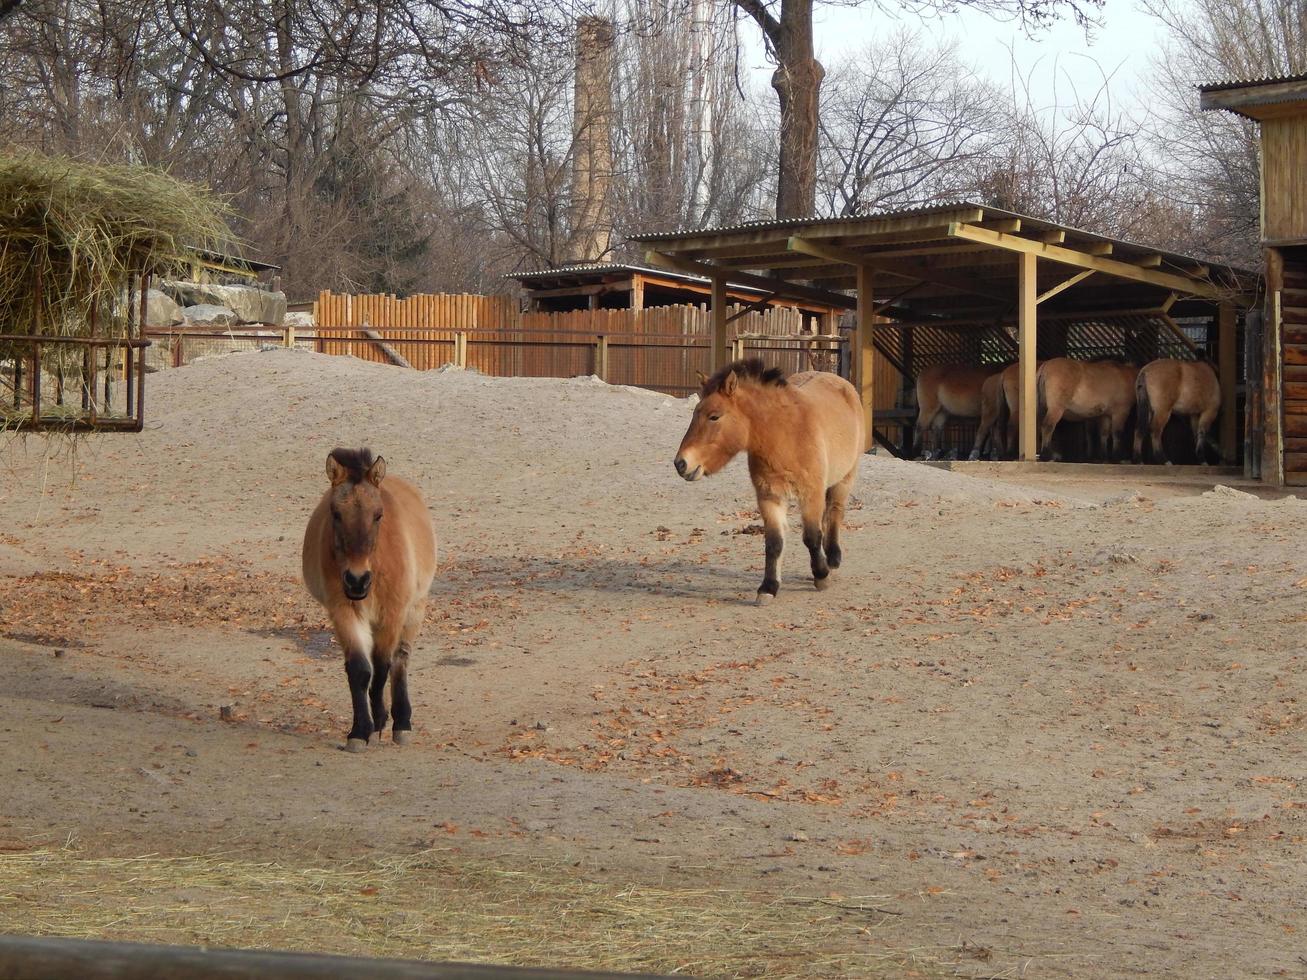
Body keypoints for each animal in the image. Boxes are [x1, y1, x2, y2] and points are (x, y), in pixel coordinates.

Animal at [301, 452, 439, 752]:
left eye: (378, 515)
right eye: (336, 513)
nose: (357, 580)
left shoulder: (393, 614)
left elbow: (382, 669)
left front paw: (381, 723)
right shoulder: (344, 612)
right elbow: (360, 670)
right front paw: (361, 731)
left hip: (415, 610)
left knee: (400, 661)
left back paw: (402, 723)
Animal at [674, 360, 867, 606]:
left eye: (714, 416)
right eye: (695, 413)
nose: (681, 463)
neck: (785, 436)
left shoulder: (810, 495)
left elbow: (812, 537)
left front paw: (821, 575)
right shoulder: (769, 497)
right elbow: (774, 543)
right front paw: (768, 587)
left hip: (845, 479)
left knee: (834, 512)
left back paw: (831, 559)